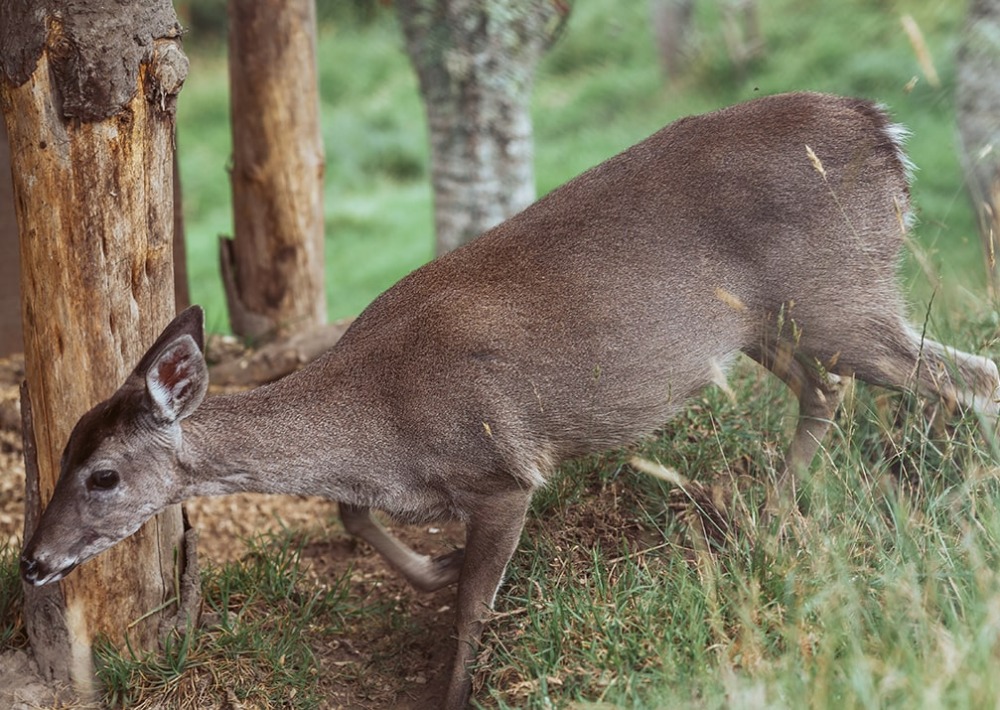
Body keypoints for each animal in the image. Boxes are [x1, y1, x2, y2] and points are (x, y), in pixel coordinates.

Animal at [17, 92, 1000, 708]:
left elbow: (471, 612)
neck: (379, 414)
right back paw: (759, 513)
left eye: (103, 476)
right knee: (831, 391)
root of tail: (884, 131)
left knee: (963, 377)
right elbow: (350, 514)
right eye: (61, 450)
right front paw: (434, 562)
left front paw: (454, 675)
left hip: (842, 298)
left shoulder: (501, 466)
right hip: (769, 322)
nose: (30, 562)